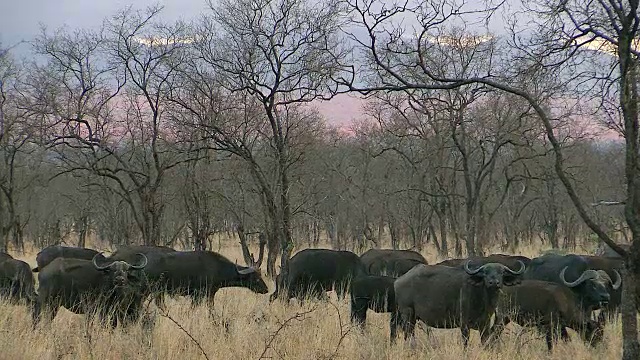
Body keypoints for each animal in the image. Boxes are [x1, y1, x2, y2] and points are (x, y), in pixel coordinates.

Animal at [390, 260, 524, 348]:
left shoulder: (485, 325)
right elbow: (465, 342)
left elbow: (485, 342)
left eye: (502, 273)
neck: (482, 298)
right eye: (485, 272)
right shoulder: (464, 324)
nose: (493, 282)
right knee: (408, 333)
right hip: (407, 314)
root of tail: (398, 280)